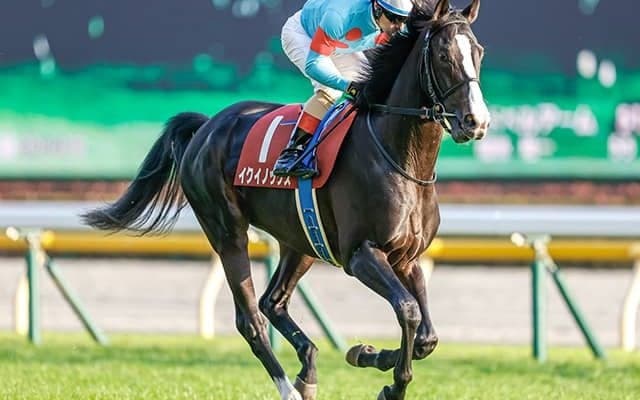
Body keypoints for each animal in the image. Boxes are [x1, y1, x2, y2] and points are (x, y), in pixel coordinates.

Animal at [82, 0, 490, 399]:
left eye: (479, 52)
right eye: (443, 55)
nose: (476, 121)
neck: (398, 158)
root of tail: (208, 126)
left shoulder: (407, 257)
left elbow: (426, 335)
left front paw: (368, 353)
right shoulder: (360, 254)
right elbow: (408, 310)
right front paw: (389, 380)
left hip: (301, 240)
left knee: (272, 301)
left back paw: (307, 370)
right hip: (227, 232)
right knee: (250, 318)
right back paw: (288, 387)